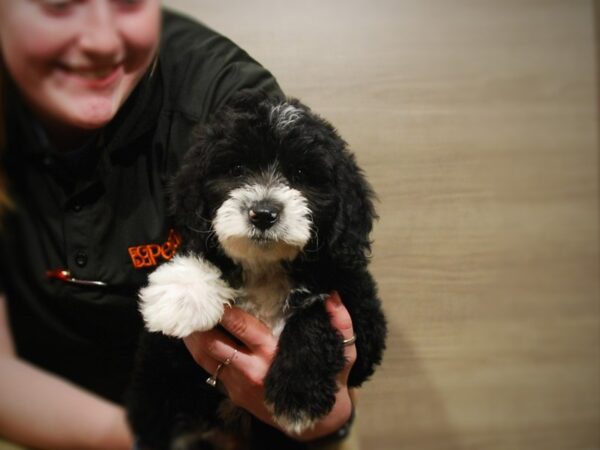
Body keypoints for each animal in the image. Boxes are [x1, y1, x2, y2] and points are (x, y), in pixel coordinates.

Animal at [128, 91, 386, 450]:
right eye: (236, 168)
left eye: (301, 174)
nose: (263, 213)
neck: (266, 267)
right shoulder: (170, 355)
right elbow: (202, 258)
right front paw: (180, 297)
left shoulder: (363, 318)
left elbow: (314, 315)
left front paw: (298, 393)